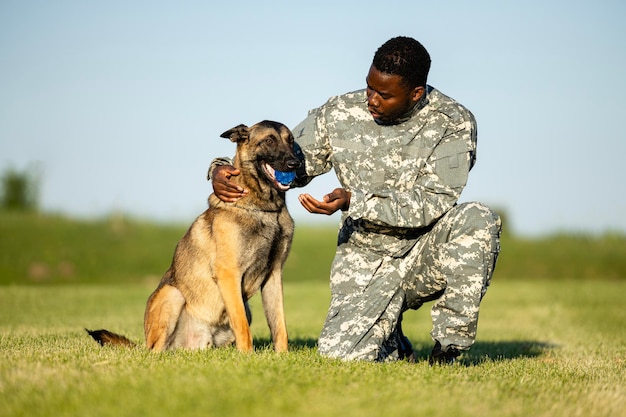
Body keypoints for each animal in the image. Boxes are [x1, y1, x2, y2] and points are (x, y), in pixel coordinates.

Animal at [87, 119, 300, 352]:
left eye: (291, 141)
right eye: (269, 140)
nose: (295, 163)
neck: (265, 208)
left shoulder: (274, 275)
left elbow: (279, 326)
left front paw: (282, 356)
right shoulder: (229, 274)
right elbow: (243, 327)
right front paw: (248, 356)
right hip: (172, 294)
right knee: (156, 351)